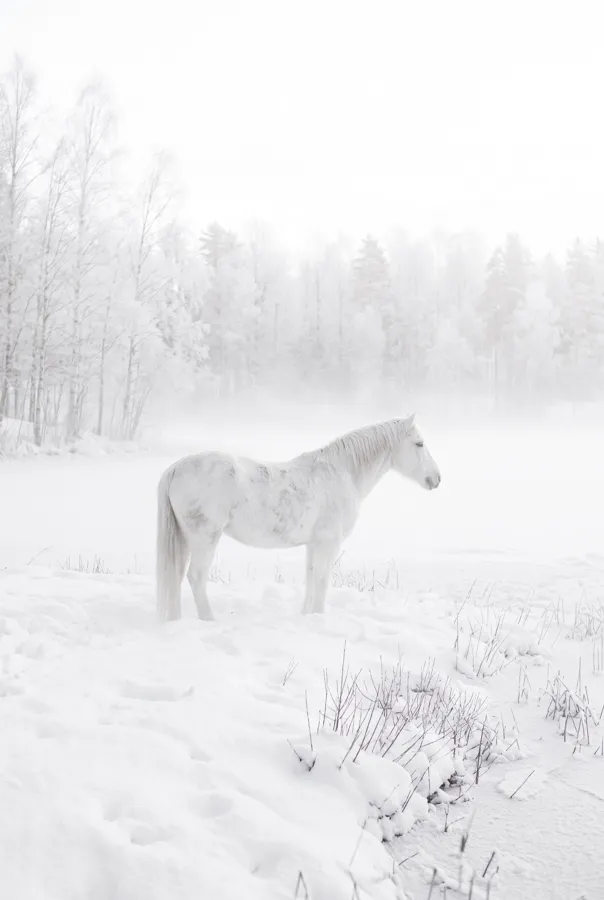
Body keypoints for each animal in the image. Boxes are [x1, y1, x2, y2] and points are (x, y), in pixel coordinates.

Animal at [155, 415, 441, 621]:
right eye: (419, 443)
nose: (436, 478)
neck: (342, 472)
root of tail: (176, 467)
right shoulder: (328, 543)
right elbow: (323, 580)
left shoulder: (314, 544)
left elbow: (311, 578)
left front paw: (307, 616)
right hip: (205, 537)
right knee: (195, 577)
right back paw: (209, 619)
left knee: (177, 576)